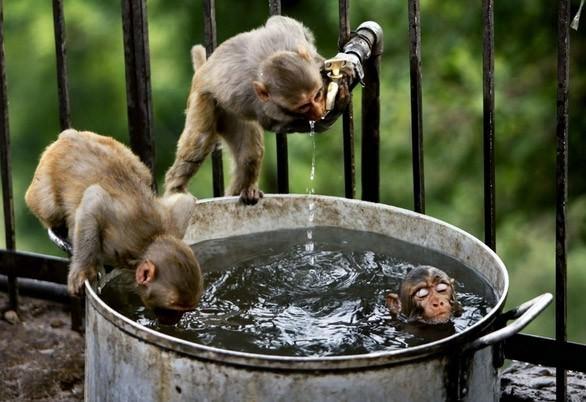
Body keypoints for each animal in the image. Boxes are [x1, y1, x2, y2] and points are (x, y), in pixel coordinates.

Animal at [25, 130, 203, 312]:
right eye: (175, 308)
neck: (148, 242)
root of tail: (70, 135)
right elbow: (94, 198)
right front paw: (82, 271)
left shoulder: (174, 222)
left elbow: (186, 201)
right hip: (44, 181)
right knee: (50, 209)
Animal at [162, 14, 350, 204]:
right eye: (304, 106)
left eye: (317, 95)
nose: (318, 111)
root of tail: (203, 70)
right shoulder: (266, 109)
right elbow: (278, 125)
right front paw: (332, 112)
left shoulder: (290, 37)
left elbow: (281, 21)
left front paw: (334, 71)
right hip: (205, 99)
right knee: (200, 141)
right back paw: (175, 189)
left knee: (250, 154)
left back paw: (244, 191)